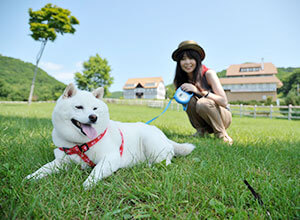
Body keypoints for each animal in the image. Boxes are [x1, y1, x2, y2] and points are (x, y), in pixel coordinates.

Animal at [25, 83, 195, 188]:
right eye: (79, 107)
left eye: (95, 108)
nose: (93, 117)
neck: (81, 144)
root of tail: (163, 135)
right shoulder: (61, 161)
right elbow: (43, 168)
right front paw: (30, 177)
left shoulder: (110, 158)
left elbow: (96, 171)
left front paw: (87, 184)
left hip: (151, 143)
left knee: (167, 159)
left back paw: (150, 164)